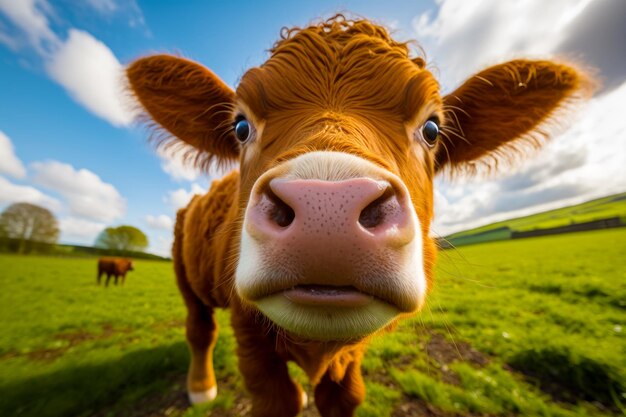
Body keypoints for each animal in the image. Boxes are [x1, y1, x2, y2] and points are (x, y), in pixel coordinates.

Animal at [127, 15, 588, 416]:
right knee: (199, 328)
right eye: (241, 127)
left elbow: (344, 396)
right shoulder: (248, 330)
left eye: (433, 129)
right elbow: (275, 397)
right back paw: (201, 389)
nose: (326, 208)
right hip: (184, 273)